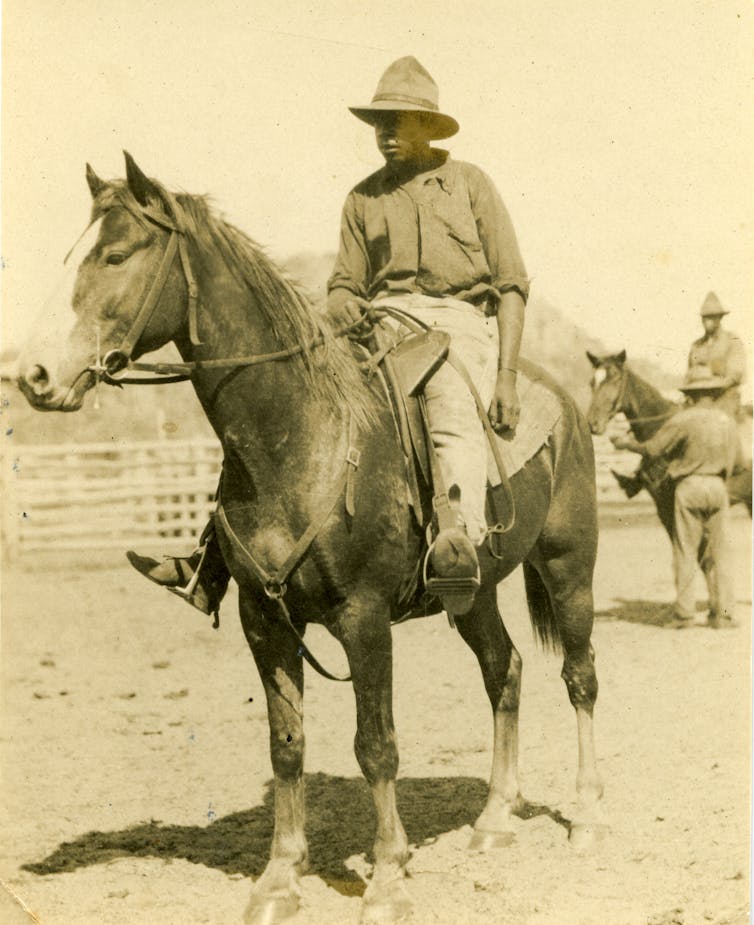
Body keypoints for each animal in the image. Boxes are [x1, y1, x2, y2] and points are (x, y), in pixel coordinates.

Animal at [16, 153, 604, 924]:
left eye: (115, 255)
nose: (33, 375)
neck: (302, 436)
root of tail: (562, 402)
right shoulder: (263, 621)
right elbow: (287, 744)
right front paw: (280, 877)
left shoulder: (364, 620)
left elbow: (376, 745)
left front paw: (387, 878)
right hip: (471, 591)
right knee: (502, 670)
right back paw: (495, 818)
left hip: (569, 568)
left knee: (579, 676)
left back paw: (587, 814)